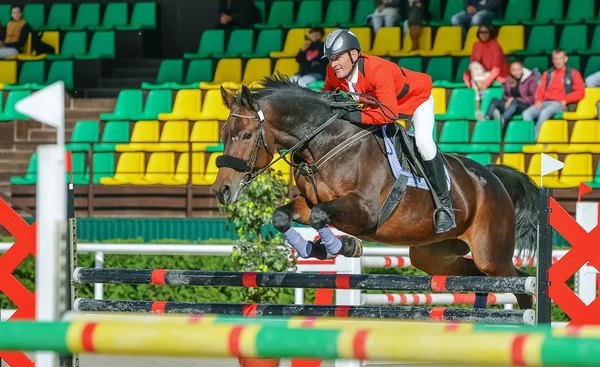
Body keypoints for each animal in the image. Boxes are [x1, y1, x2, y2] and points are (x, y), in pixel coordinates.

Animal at [214, 75, 540, 310]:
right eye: (223, 134)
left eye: (246, 135)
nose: (221, 191)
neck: (325, 144)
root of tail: (491, 177)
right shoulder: (308, 202)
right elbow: (283, 216)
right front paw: (314, 249)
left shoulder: (365, 212)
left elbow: (320, 217)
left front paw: (343, 246)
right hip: (433, 255)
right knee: (477, 276)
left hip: (491, 253)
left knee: (520, 283)